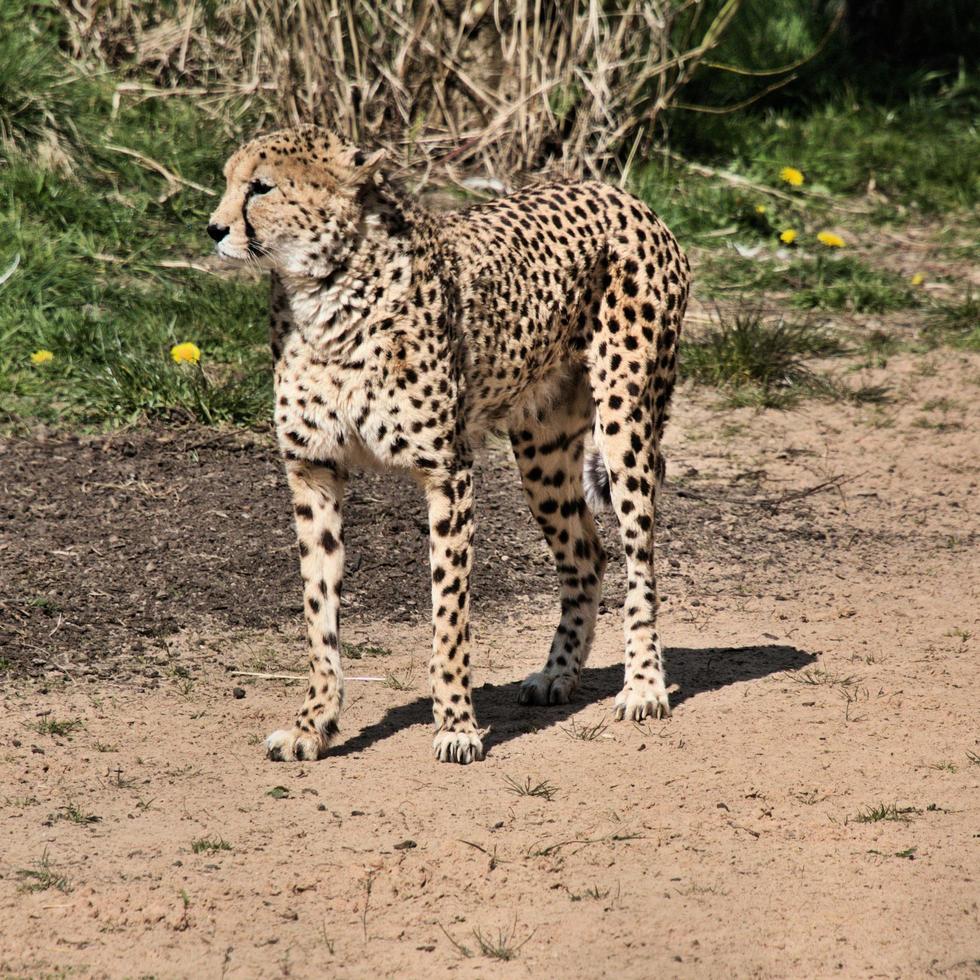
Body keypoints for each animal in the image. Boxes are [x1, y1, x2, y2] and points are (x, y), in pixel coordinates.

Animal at [209, 124, 688, 764]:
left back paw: (643, 686)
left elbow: (449, 613)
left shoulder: (447, 472)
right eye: (229, 180)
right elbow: (319, 610)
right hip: (541, 448)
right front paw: (314, 724)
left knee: (640, 559)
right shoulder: (313, 470)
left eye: (261, 187)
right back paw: (557, 674)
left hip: (625, 424)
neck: (326, 295)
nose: (214, 228)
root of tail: (624, 196)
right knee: (586, 553)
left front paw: (457, 724)